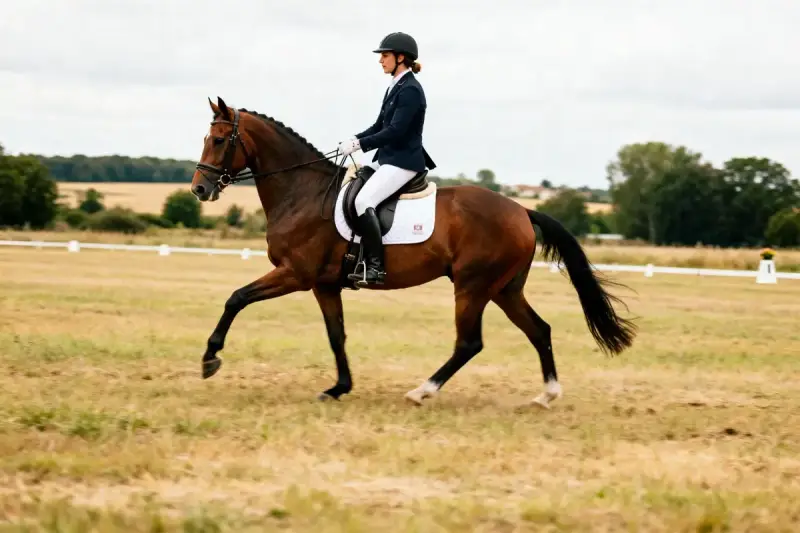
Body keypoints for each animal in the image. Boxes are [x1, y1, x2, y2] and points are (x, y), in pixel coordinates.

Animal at [190, 96, 637, 408]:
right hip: (504, 289)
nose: (199, 189)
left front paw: (210, 357)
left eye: (218, 140)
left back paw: (422, 391)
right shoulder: (323, 284)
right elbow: (336, 335)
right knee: (539, 330)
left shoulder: (295, 274)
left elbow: (236, 298)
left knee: (469, 343)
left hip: (473, 287)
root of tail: (521, 210)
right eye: (206, 138)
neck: (303, 193)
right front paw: (339, 387)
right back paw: (547, 395)